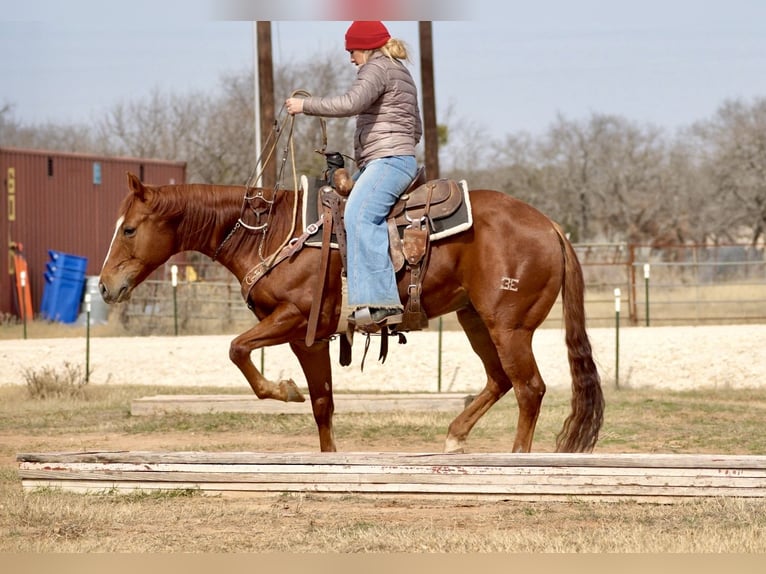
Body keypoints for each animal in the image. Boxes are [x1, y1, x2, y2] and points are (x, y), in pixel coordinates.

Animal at [100, 171, 608, 454]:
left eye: (129, 229)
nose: (105, 286)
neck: (271, 234)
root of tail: (550, 226)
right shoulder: (309, 338)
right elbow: (322, 403)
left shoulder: (293, 318)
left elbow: (237, 349)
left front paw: (283, 390)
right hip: (475, 320)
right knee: (500, 380)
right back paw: (455, 435)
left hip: (509, 325)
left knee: (529, 388)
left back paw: (517, 454)